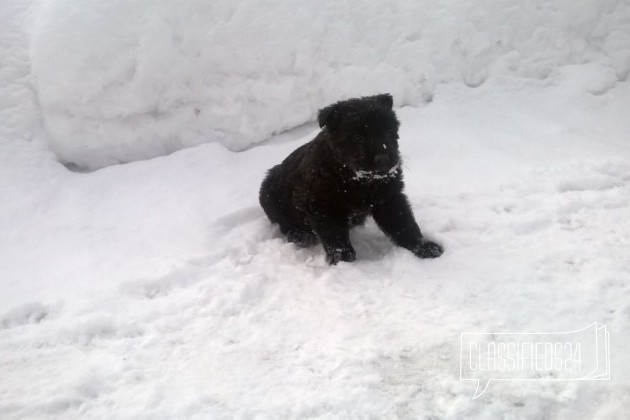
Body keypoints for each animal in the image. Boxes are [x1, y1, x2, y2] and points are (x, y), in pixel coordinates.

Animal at [260, 93, 444, 264]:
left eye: (389, 132)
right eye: (357, 137)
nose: (383, 158)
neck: (357, 180)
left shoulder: (389, 198)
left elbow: (404, 223)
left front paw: (423, 246)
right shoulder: (322, 205)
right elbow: (334, 233)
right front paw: (342, 258)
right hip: (268, 194)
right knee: (283, 223)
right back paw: (299, 235)